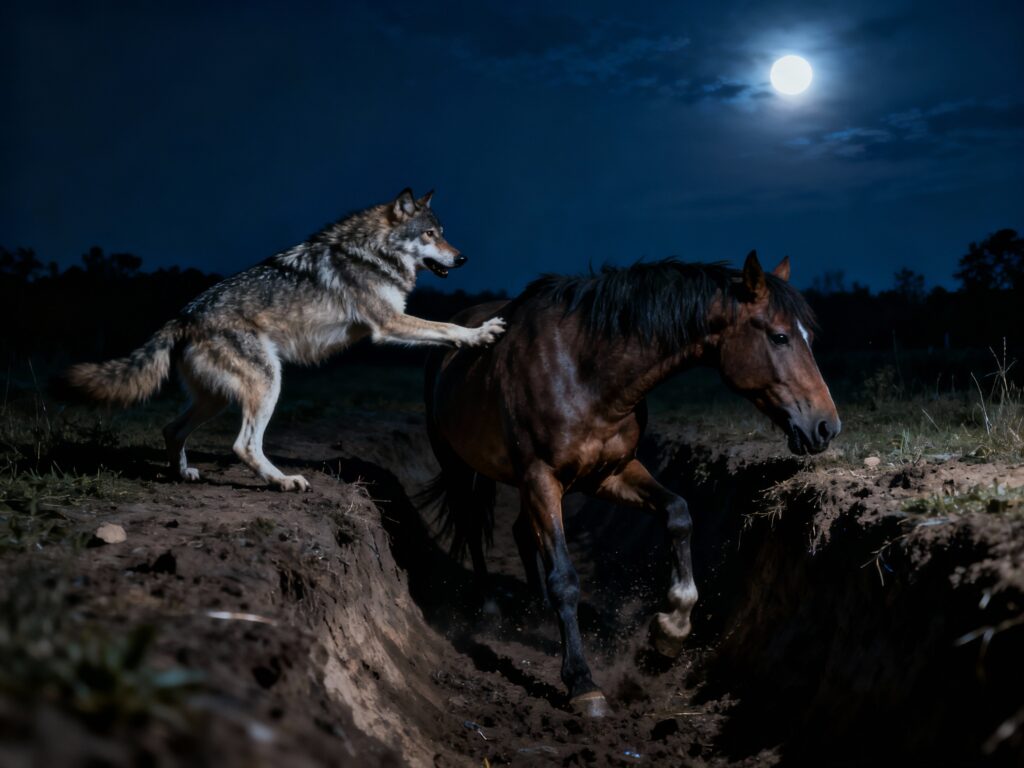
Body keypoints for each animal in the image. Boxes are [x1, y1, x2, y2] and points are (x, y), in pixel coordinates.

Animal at [423, 251, 840, 717]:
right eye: (780, 337)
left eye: (807, 336)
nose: (826, 426)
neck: (583, 371)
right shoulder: (541, 477)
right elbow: (565, 578)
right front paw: (582, 682)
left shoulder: (609, 473)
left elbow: (678, 514)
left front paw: (670, 629)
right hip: (460, 467)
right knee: (472, 526)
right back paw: (492, 608)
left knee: (520, 532)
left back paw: (535, 609)